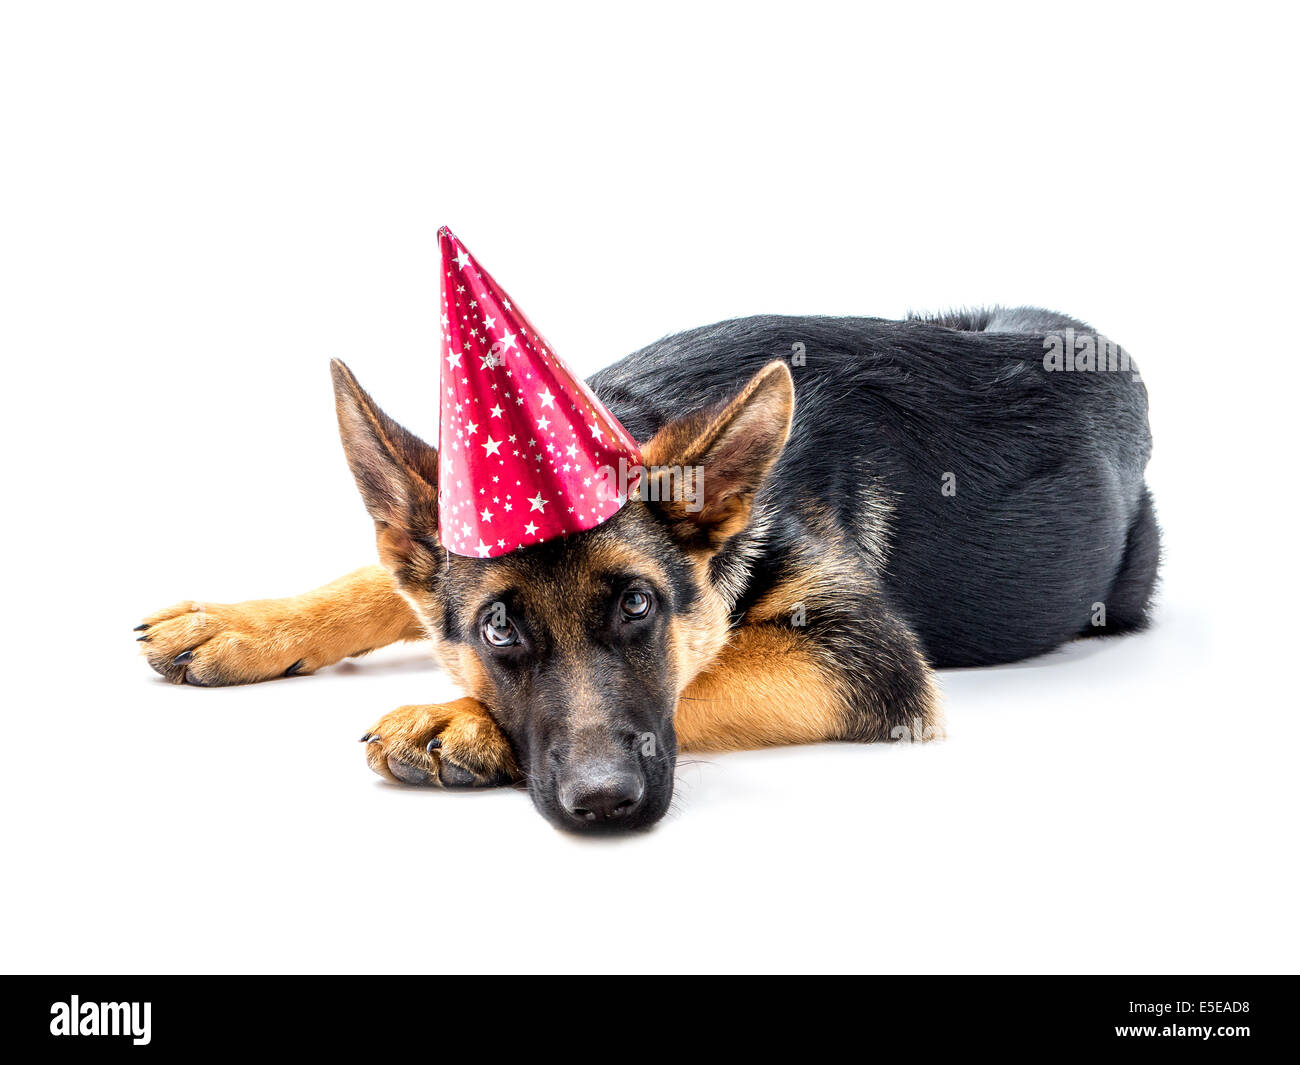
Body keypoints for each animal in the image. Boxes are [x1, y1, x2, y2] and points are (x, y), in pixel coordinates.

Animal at [139, 308, 1159, 832]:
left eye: (639, 605)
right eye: (499, 626)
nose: (607, 805)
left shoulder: (859, 653)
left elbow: (695, 679)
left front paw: (459, 717)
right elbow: (380, 579)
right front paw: (246, 622)